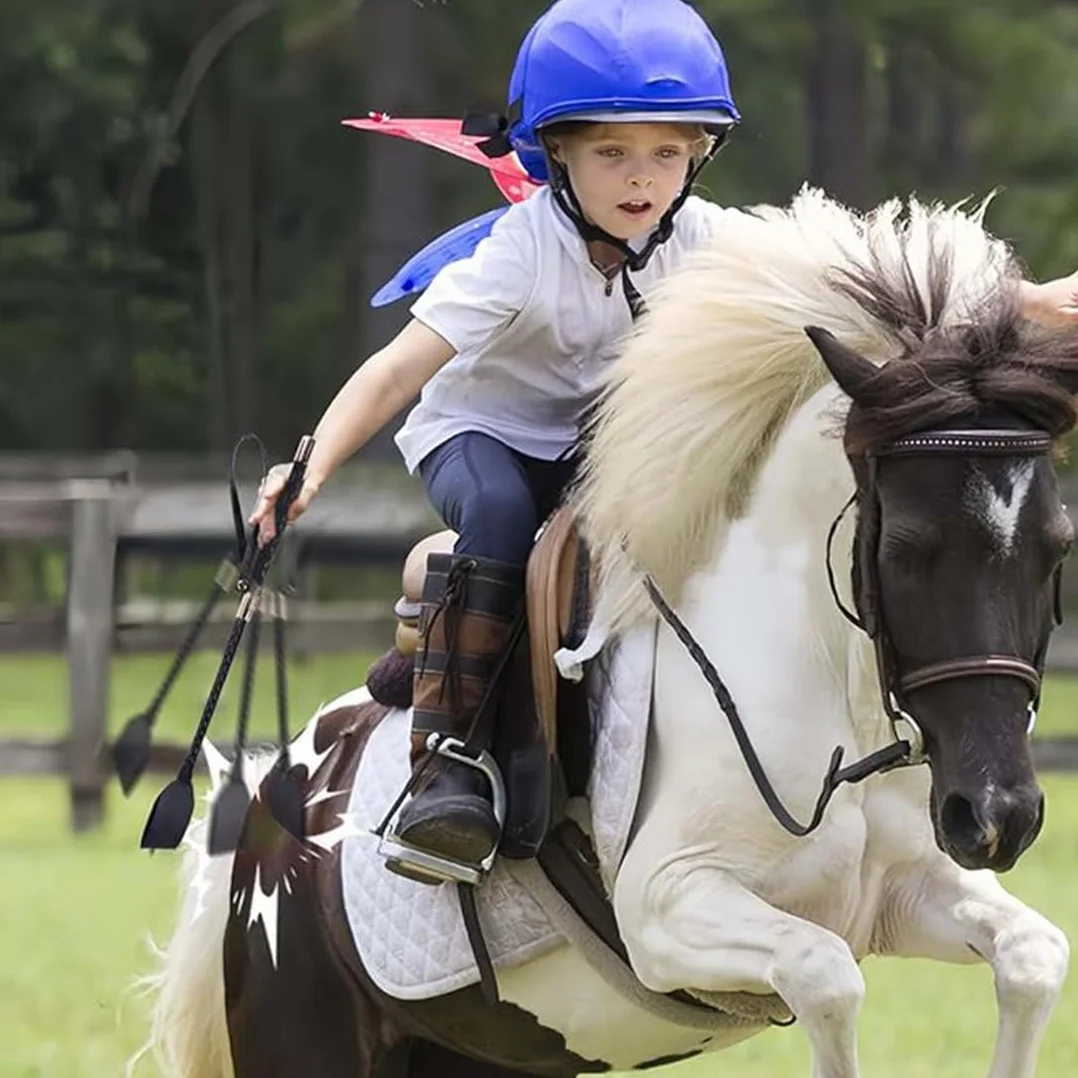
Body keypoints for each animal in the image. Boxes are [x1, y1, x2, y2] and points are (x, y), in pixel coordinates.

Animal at [136, 188, 1078, 1078]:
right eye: (907, 549)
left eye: (1056, 546)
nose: (996, 815)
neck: (825, 703)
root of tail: (267, 802)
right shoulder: (670, 908)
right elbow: (828, 977)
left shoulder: (904, 894)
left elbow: (1033, 958)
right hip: (305, 1038)